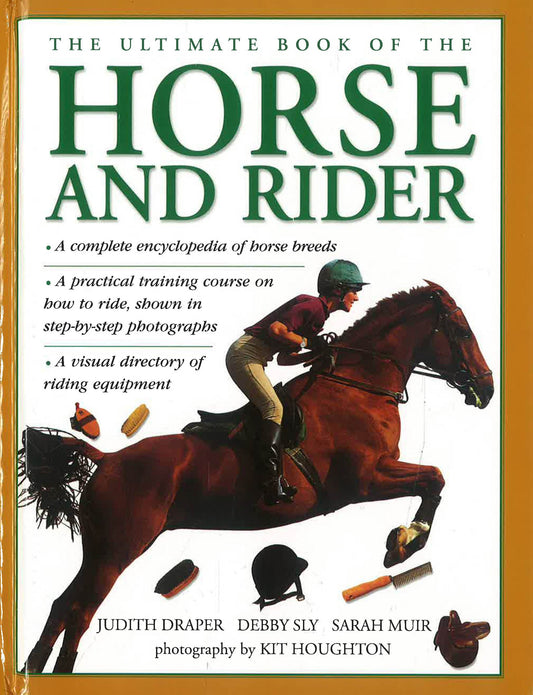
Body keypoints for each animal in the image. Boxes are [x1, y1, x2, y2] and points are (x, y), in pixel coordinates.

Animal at [20, 281, 494, 674]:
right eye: (463, 333)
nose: (487, 390)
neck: (358, 385)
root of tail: (107, 457)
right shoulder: (364, 481)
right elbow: (435, 478)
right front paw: (405, 542)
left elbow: (435, 478)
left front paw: (402, 542)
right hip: (117, 552)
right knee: (79, 613)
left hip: (100, 551)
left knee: (62, 606)